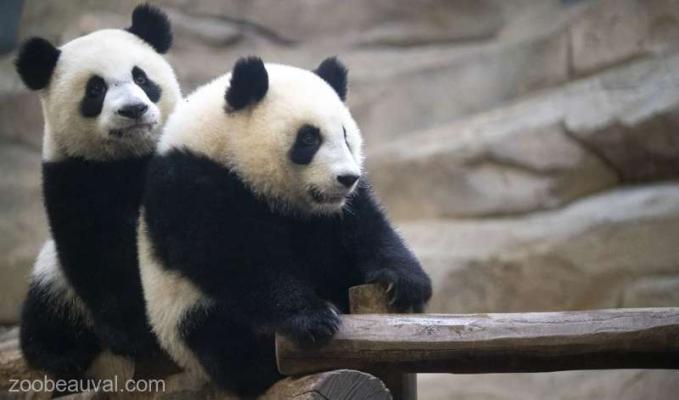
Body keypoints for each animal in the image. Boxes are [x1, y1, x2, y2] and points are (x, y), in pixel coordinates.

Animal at [15, 4, 181, 380]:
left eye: (141, 78)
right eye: (95, 89)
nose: (133, 110)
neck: (128, 158)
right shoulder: (73, 178)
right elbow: (98, 254)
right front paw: (135, 335)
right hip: (55, 281)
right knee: (46, 311)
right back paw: (60, 353)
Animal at [138, 56, 432, 395]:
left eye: (346, 135)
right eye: (309, 138)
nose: (347, 178)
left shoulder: (337, 210)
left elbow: (367, 227)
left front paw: (405, 283)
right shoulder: (190, 186)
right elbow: (239, 259)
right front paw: (313, 319)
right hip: (185, 315)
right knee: (225, 342)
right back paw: (266, 366)